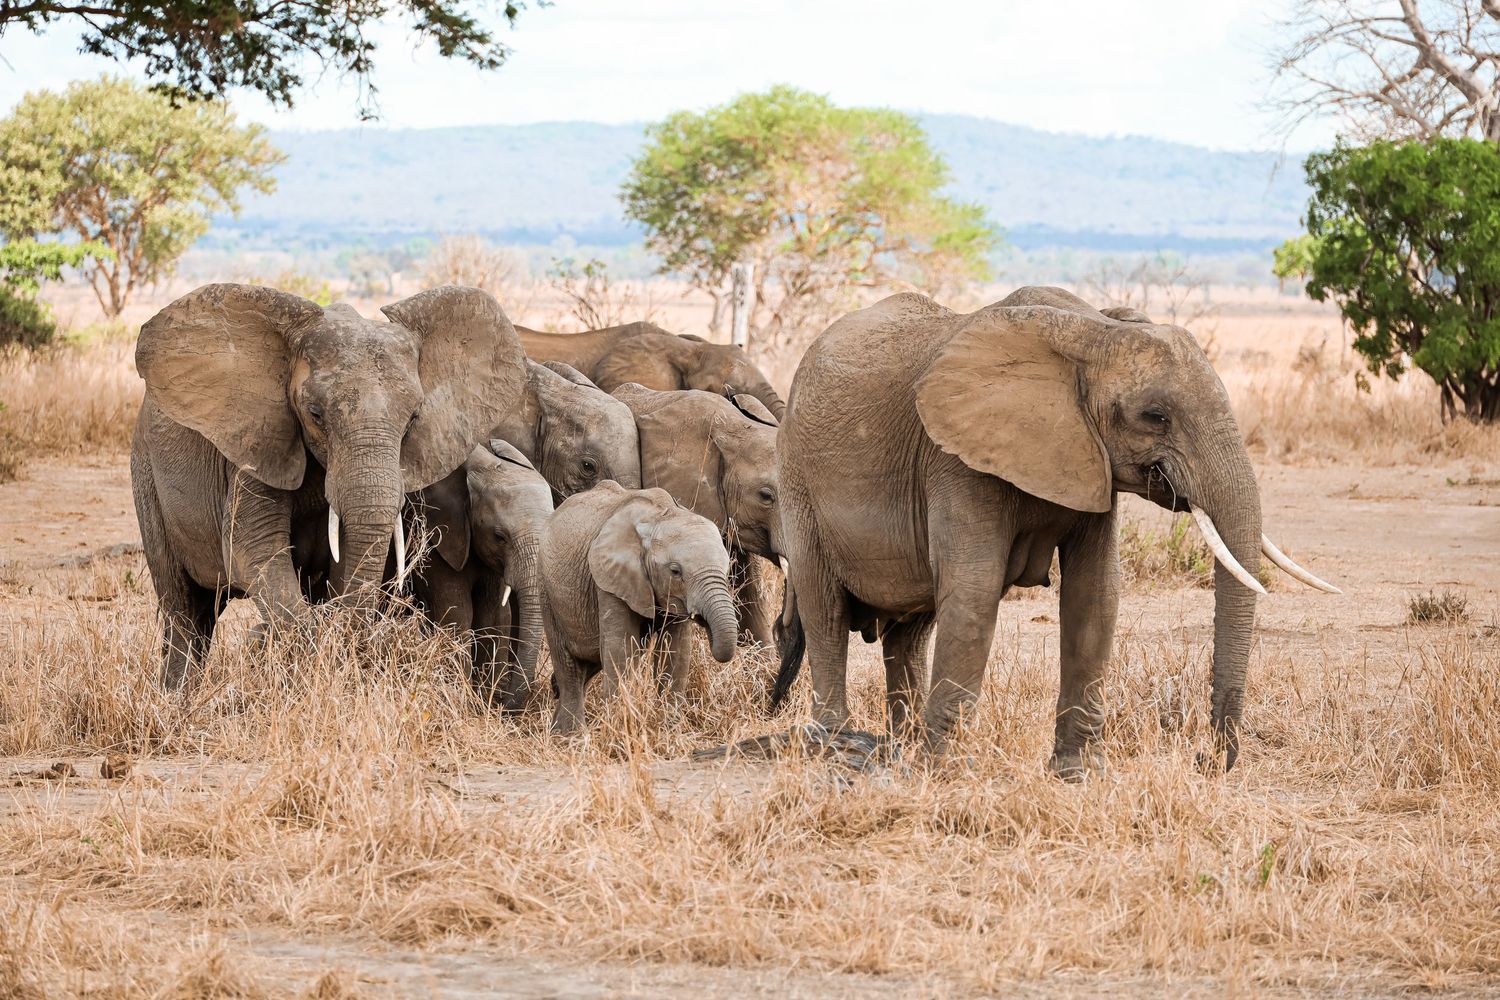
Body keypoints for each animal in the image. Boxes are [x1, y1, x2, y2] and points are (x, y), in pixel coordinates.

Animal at [131, 283, 526, 687]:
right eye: (315, 414)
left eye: (414, 417)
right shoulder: (257, 439)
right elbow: (253, 547)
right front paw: (293, 642)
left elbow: (352, 552)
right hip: (146, 475)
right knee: (184, 609)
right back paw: (177, 696)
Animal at [407, 441, 554, 710]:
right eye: (499, 536)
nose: (504, 702)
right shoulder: (435, 534)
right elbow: (456, 612)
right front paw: (462, 700)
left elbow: (491, 613)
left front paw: (483, 698)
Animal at [541, 480, 739, 735]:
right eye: (675, 571)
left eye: (727, 569)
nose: (703, 619)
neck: (660, 516)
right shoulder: (609, 579)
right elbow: (621, 648)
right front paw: (619, 727)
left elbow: (676, 651)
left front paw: (669, 729)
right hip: (546, 590)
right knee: (568, 664)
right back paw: (569, 735)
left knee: (589, 663)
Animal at [771, 286, 1338, 776]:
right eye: (1154, 416)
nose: (1206, 759)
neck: (1092, 333)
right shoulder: (958, 459)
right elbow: (974, 593)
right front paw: (947, 774)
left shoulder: (1092, 465)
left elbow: (1096, 595)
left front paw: (1079, 774)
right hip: (798, 482)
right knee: (826, 611)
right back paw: (839, 748)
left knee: (910, 632)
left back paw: (900, 749)